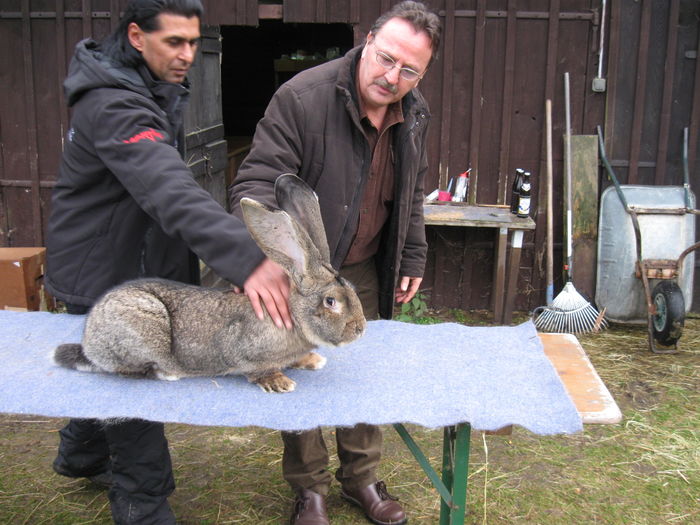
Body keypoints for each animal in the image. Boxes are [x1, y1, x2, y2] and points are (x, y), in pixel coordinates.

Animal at [54, 174, 366, 390]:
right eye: (331, 301)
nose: (360, 329)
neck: (294, 317)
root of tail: (89, 342)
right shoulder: (243, 351)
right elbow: (255, 369)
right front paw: (279, 382)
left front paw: (311, 360)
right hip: (140, 329)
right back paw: (166, 373)